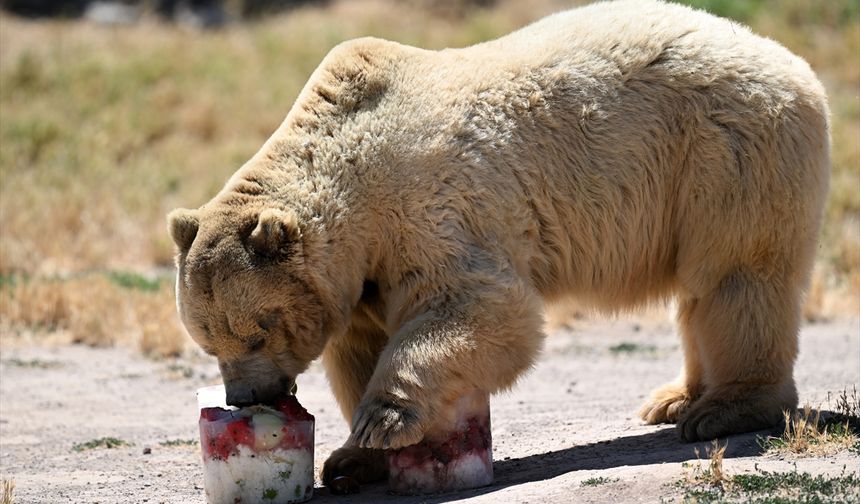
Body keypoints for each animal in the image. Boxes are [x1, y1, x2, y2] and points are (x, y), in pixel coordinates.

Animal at [166, 0, 828, 488]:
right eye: (207, 340)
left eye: (256, 332)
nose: (246, 396)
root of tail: (795, 64)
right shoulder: (358, 275)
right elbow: (357, 345)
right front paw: (352, 460)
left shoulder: (428, 210)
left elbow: (485, 308)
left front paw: (383, 421)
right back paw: (674, 398)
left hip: (723, 151)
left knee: (736, 278)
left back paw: (722, 409)